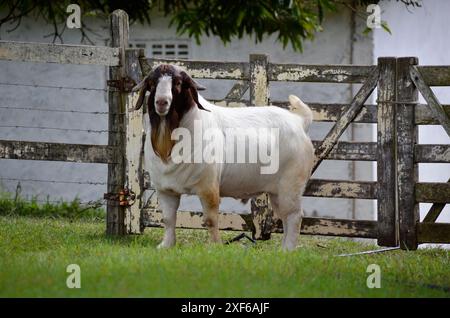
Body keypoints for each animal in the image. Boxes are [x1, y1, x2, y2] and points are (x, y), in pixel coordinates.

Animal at [134, 63, 314, 250]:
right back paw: (283, 250)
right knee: (285, 217)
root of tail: (299, 121)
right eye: (152, 83)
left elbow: (210, 220)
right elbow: (168, 219)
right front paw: (166, 246)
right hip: (277, 192)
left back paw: (288, 250)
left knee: (294, 216)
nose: (162, 102)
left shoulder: (208, 187)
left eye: (177, 82)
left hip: (291, 186)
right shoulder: (165, 190)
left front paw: (214, 247)